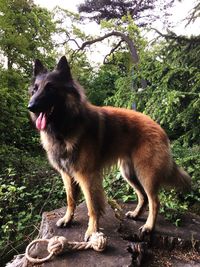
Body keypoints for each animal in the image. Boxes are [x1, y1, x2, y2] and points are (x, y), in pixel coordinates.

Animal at [27, 56, 191, 241]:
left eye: (50, 88)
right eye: (35, 89)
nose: (30, 106)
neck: (65, 127)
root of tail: (160, 128)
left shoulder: (87, 176)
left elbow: (92, 206)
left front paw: (92, 231)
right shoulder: (67, 175)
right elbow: (70, 200)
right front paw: (68, 219)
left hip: (146, 173)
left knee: (154, 201)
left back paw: (148, 227)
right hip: (129, 173)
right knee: (143, 196)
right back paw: (136, 214)